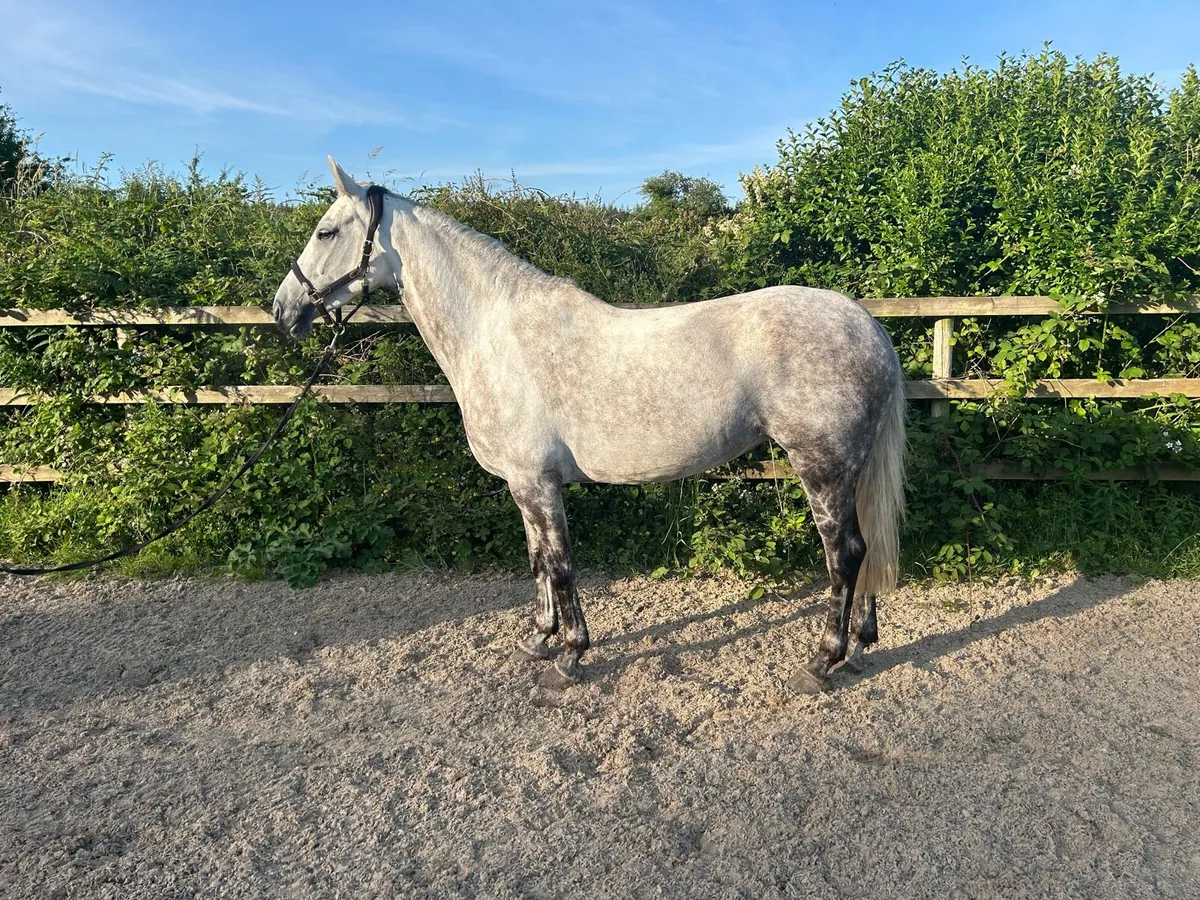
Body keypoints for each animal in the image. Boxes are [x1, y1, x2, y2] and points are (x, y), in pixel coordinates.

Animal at [273, 157, 906, 694]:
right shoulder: (523, 485)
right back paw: (860, 646)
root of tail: (867, 325)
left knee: (846, 554)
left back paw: (821, 661)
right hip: (847, 470)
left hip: (821, 467)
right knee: (865, 549)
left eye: (326, 232)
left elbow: (560, 564)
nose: (283, 311)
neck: (494, 334)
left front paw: (571, 655)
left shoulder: (536, 482)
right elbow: (537, 561)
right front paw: (539, 640)